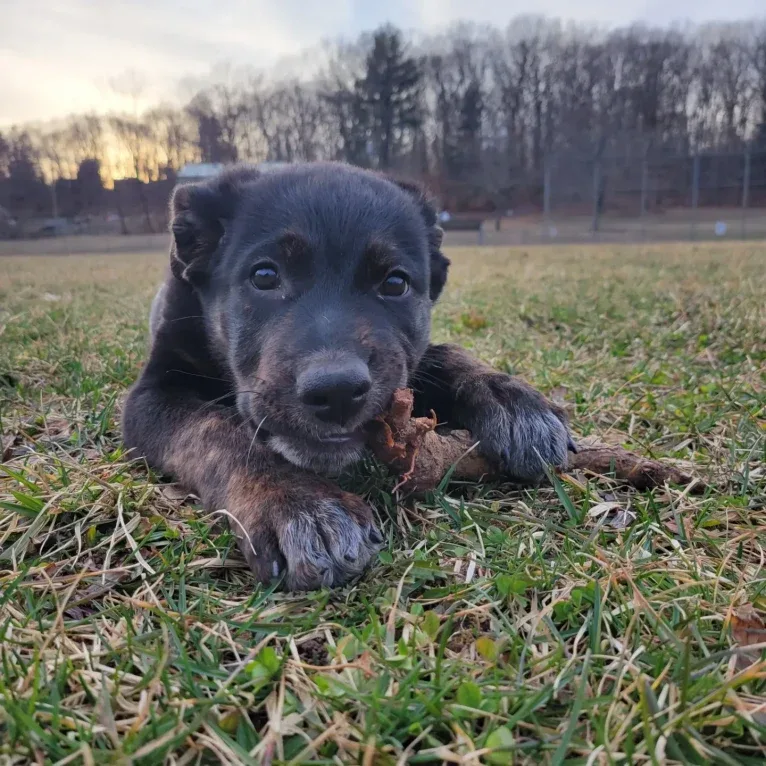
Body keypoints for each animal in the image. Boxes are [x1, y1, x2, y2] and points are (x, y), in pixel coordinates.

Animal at [123, 165, 572, 592]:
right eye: (264, 276)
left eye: (395, 282)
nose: (336, 391)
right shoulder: (151, 395)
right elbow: (216, 430)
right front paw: (296, 501)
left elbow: (447, 354)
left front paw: (510, 397)